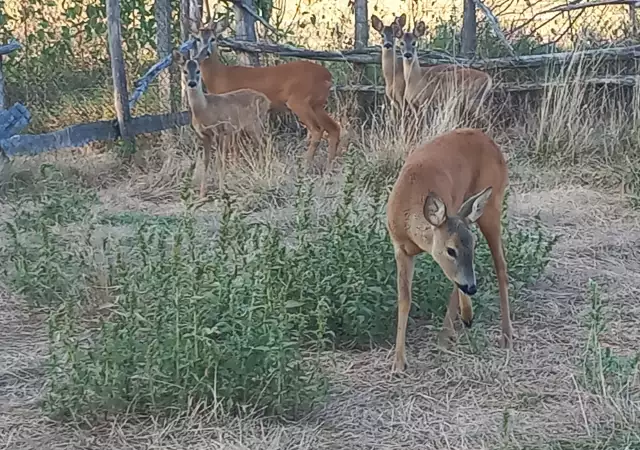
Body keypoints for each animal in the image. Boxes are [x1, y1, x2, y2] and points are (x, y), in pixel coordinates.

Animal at [172, 46, 270, 199]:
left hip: (254, 124)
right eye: (185, 71)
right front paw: (202, 194)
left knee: (263, 144)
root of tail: (267, 100)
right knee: (262, 144)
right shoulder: (203, 135)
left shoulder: (219, 131)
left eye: (198, 71)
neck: (205, 109)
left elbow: (219, 161)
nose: (192, 83)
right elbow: (206, 162)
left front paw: (222, 191)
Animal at [190, 14, 342, 171]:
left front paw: (233, 167)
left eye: (213, 38)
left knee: (317, 129)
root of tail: (327, 76)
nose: (205, 52)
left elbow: (233, 145)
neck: (220, 76)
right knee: (334, 128)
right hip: (317, 104)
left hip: (299, 101)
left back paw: (306, 166)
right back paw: (329, 167)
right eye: (198, 39)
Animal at [384, 127, 516, 372]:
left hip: (492, 205)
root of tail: (490, 140)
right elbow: (404, 299)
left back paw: (504, 335)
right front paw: (398, 362)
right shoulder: (400, 248)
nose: (472, 287)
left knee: (501, 266)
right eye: (451, 250)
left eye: (472, 245)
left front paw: (458, 323)